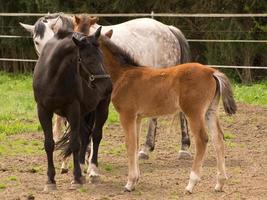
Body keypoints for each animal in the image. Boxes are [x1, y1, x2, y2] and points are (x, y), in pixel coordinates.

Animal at [33, 29, 112, 191]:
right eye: (88, 59)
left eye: (101, 56)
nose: (108, 87)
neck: (52, 77)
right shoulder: (43, 111)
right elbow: (49, 144)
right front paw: (50, 180)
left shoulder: (73, 110)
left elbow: (75, 143)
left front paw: (76, 178)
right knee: (85, 134)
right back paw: (81, 165)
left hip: (102, 108)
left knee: (96, 136)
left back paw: (92, 171)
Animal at [72, 27, 238, 194]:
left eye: (87, 56)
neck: (123, 75)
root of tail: (212, 72)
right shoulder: (137, 117)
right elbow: (135, 144)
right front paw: (135, 180)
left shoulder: (127, 115)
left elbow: (129, 145)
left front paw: (129, 183)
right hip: (210, 111)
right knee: (218, 139)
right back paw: (220, 183)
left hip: (194, 113)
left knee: (202, 140)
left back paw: (191, 184)